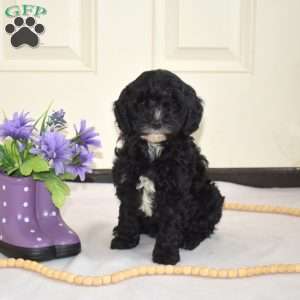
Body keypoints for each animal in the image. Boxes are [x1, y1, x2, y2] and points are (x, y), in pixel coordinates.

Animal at [110, 69, 223, 264]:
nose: (156, 122)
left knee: (204, 225)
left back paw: (190, 239)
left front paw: (166, 255)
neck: (154, 149)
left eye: (173, 104)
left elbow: (170, 224)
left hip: (211, 196)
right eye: (142, 103)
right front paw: (124, 240)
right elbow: (127, 214)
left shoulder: (175, 192)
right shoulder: (127, 182)